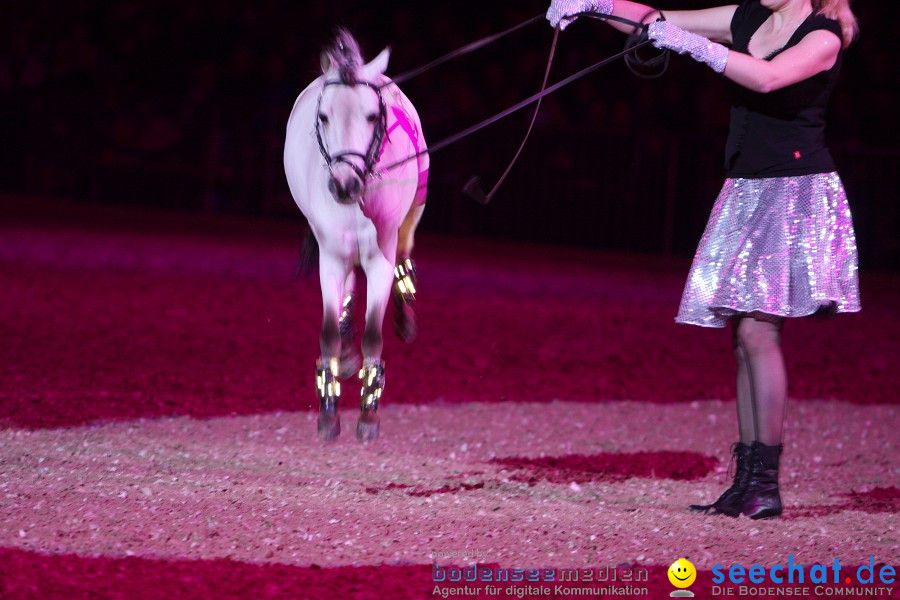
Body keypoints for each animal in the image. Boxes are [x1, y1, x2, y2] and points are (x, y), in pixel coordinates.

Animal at [286, 30, 430, 440]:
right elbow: (328, 332)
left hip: (412, 214)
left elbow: (373, 335)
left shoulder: (380, 253)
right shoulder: (330, 255)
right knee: (349, 283)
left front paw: (368, 414)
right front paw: (328, 412)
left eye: (371, 116)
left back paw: (403, 320)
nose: (344, 185)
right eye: (324, 116)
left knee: (403, 258)